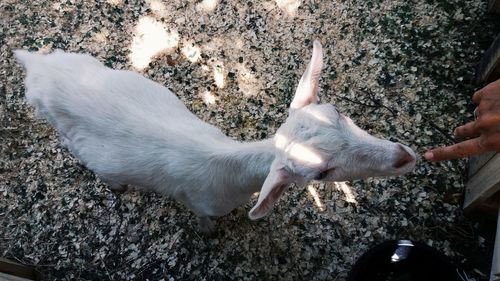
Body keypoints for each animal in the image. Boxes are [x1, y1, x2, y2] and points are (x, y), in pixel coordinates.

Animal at [13, 40, 416, 232]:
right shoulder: (200, 202)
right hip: (55, 120)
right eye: (321, 173)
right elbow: (202, 218)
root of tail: (35, 62)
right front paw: (208, 233)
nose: (405, 157)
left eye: (340, 113)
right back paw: (114, 185)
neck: (233, 172)